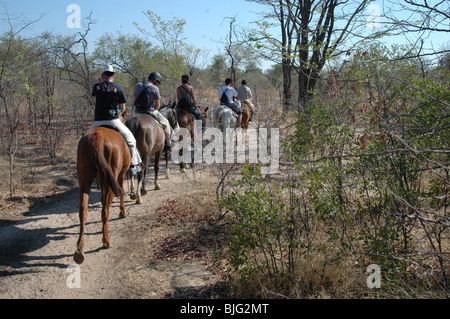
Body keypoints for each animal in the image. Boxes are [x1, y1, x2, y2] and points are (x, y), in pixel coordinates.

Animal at [74, 110, 130, 264]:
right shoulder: (119, 176)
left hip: (85, 182)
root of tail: (96, 137)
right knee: (105, 210)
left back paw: (80, 250)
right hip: (111, 179)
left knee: (83, 211)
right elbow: (121, 192)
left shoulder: (104, 181)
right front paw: (122, 212)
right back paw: (106, 241)